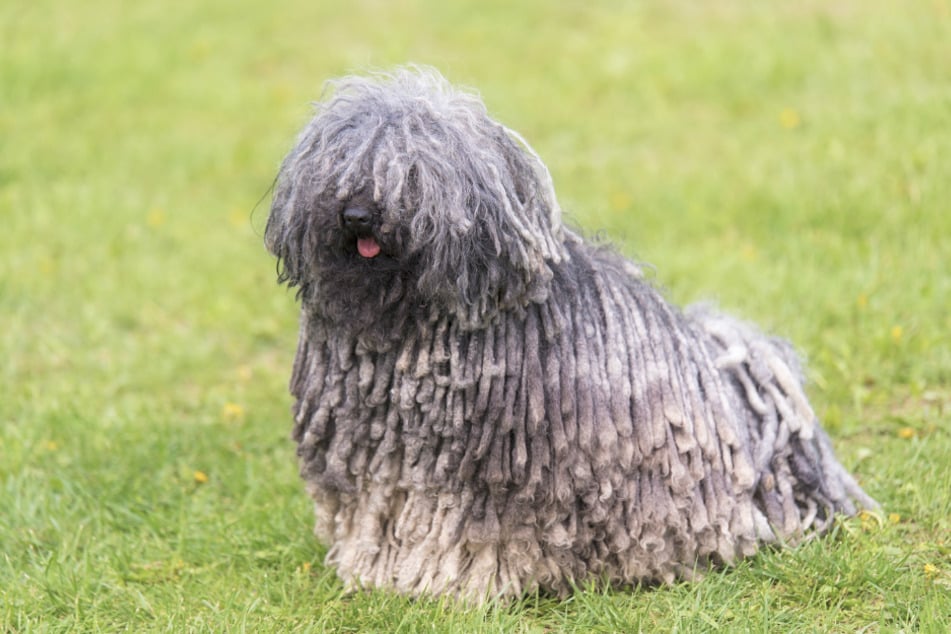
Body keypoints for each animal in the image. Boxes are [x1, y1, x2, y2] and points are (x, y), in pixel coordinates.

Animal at [264, 66, 872, 600]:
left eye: (412, 173)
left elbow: (463, 528)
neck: (411, 329)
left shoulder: (488, 474)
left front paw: (447, 582)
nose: (358, 215)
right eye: (340, 164)